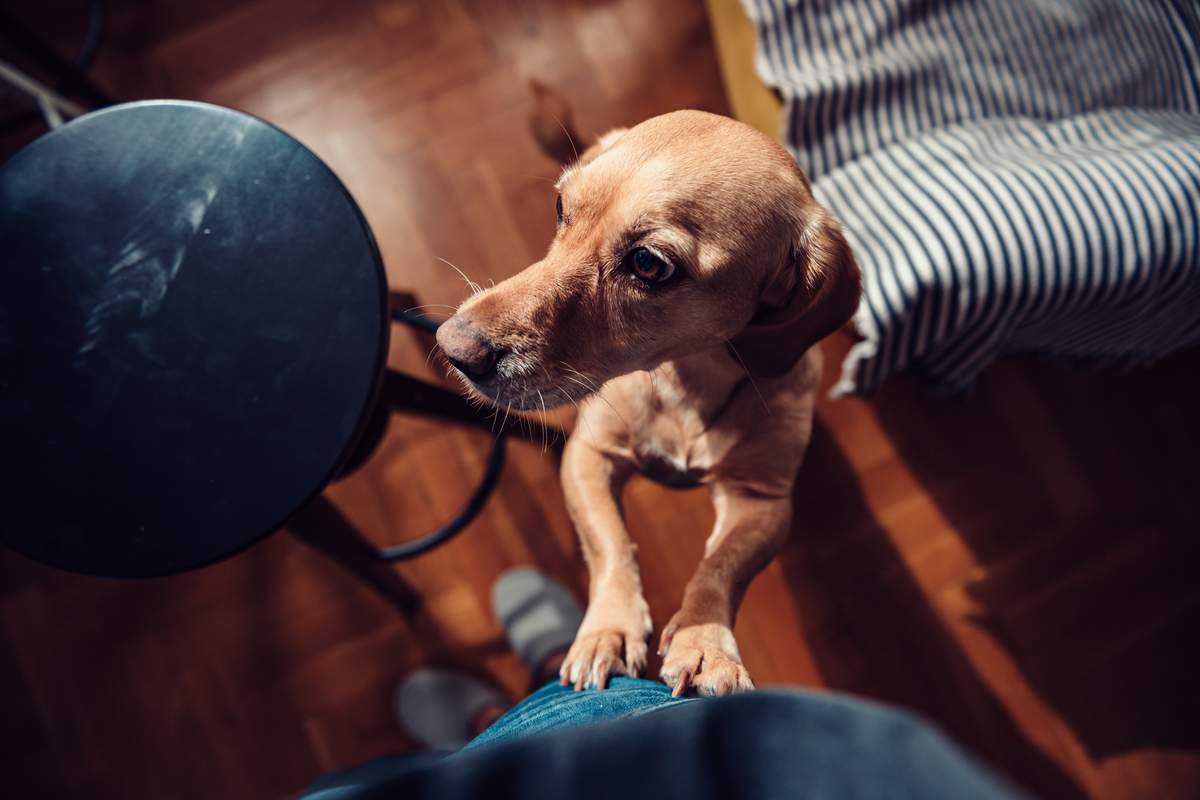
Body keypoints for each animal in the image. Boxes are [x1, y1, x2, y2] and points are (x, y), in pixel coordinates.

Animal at [436, 109, 859, 695]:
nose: (453, 348)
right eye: (561, 208)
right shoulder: (587, 457)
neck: (686, 383)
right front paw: (609, 630)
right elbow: (612, 545)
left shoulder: (762, 501)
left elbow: (721, 567)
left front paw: (706, 644)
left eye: (649, 265)